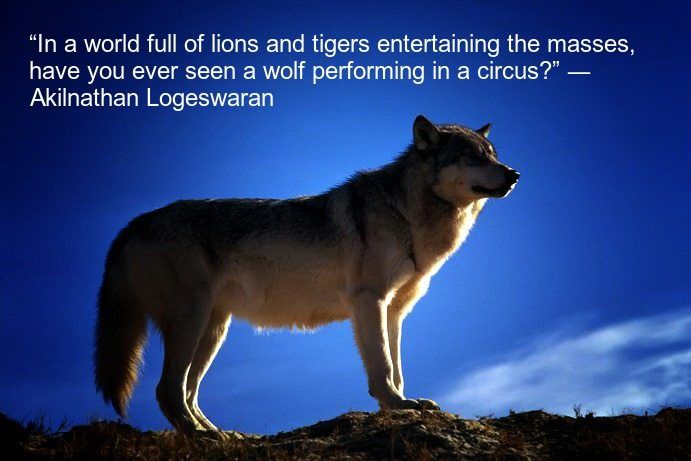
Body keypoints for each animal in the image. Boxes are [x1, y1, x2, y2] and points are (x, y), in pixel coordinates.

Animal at [94, 115, 520, 434]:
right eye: (471, 157)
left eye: (493, 155)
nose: (514, 174)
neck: (405, 213)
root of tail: (133, 224)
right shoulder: (369, 301)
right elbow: (383, 367)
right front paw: (397, 406)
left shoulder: (395, 312)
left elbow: (398, 368)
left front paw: (401, 405)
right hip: (192, 322)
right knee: (167, 391)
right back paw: (202, 438)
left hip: (214, 330)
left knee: (187, 392)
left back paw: (222, 434)